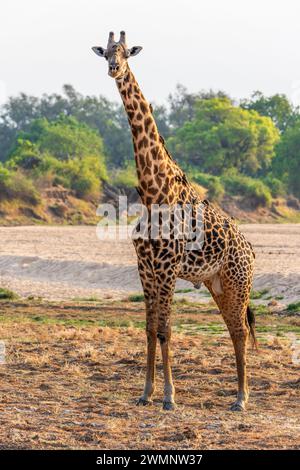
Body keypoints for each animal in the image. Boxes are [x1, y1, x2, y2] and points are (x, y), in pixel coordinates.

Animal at [92, 32, 256, 412]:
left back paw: (241, 399)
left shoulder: (167, 268)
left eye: (126, 53)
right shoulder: (146, 267)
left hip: (239, 281)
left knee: (241, 330)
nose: (113, 68)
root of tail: (250, 250)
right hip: (216, 284)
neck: (153, 191)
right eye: (105, 53)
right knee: (234, 328)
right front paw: (145, 393)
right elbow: (150, 329)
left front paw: (169, 396)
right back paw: (240, 395)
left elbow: (166, 329)